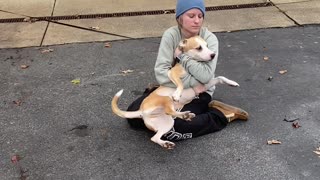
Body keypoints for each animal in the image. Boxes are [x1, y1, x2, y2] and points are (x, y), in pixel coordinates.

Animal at [111, 35, 239, 149]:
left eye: (207, 45)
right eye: (199, 48)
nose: (213, 55)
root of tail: (141, 111)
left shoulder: (203, 84)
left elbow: (221, 78)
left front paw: (232, 83)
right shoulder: (172, 73)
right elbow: (181, 83)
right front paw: (177, 94)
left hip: (168, 122)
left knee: (155, 137)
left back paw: (169, 138)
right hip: (166, 99)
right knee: (169, 110)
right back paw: (185, 114)